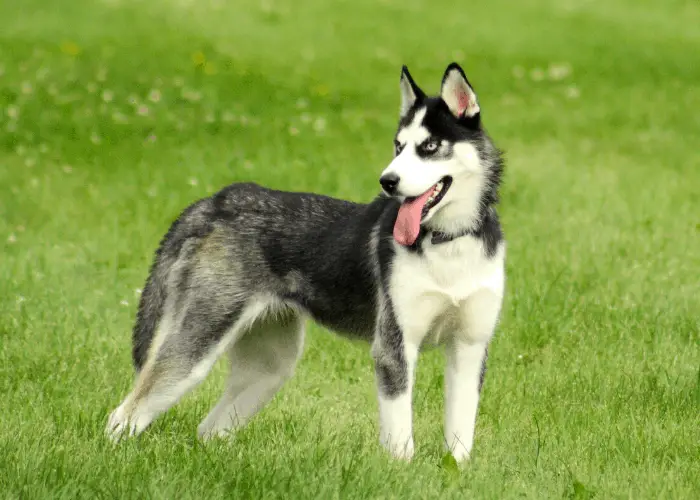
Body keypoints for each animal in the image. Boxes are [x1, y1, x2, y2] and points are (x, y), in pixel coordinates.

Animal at [106, 63, 504, 464]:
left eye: (430, 147)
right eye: (398, 146)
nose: (387, 181)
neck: (448, 242)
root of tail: (216, 202)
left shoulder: (469, 349)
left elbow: (460, 436)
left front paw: (455, 470)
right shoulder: (395, 349)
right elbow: (400, 438)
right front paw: (402, 470)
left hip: (270, 367)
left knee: (209, 428)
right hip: (197, 347)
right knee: (126, 413)